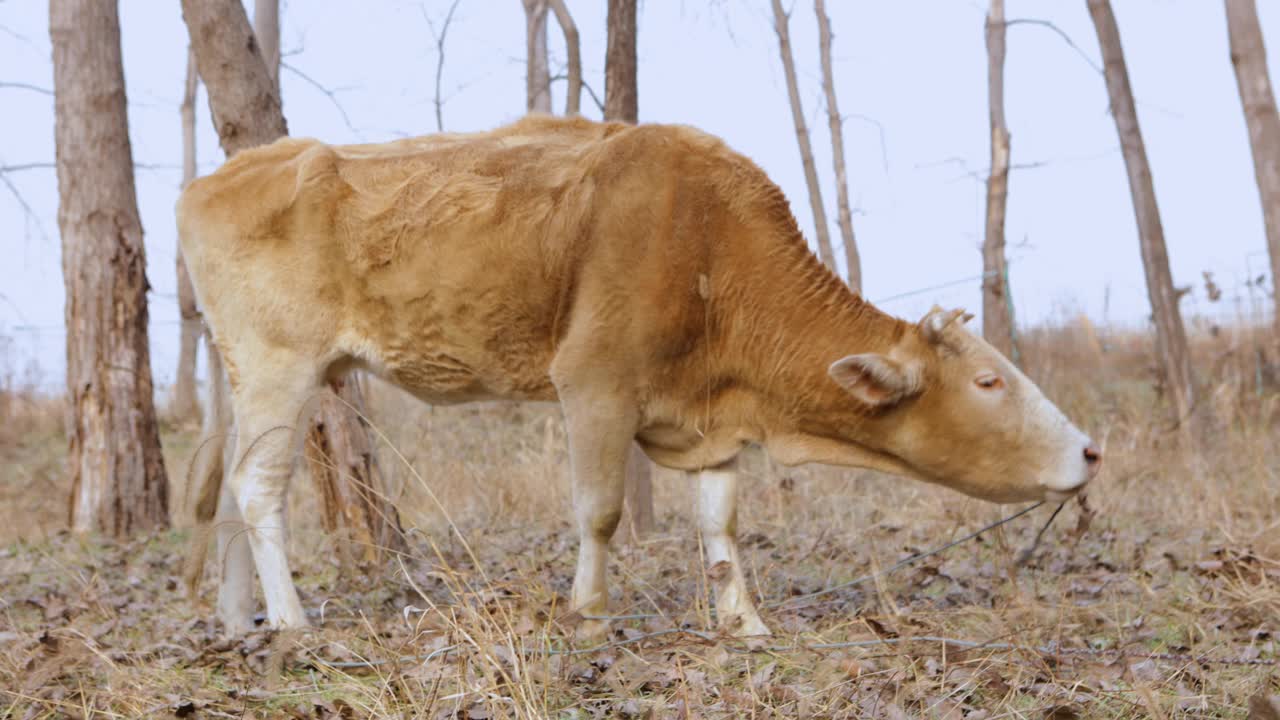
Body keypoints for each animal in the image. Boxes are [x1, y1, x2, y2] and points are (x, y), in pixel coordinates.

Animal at [180, 114, 1100, 635]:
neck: (712, 249)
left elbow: (722, 526)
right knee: (259, 488)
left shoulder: (710, 420)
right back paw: (291, 620)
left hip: (241, 376)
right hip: (281, 366)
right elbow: (601, 511)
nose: (1091, 452)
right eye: (989, 383)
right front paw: (589, 616)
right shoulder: (593, 385)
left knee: (224, 488)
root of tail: (216, 177)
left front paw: (744, 624)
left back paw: (234, 619)